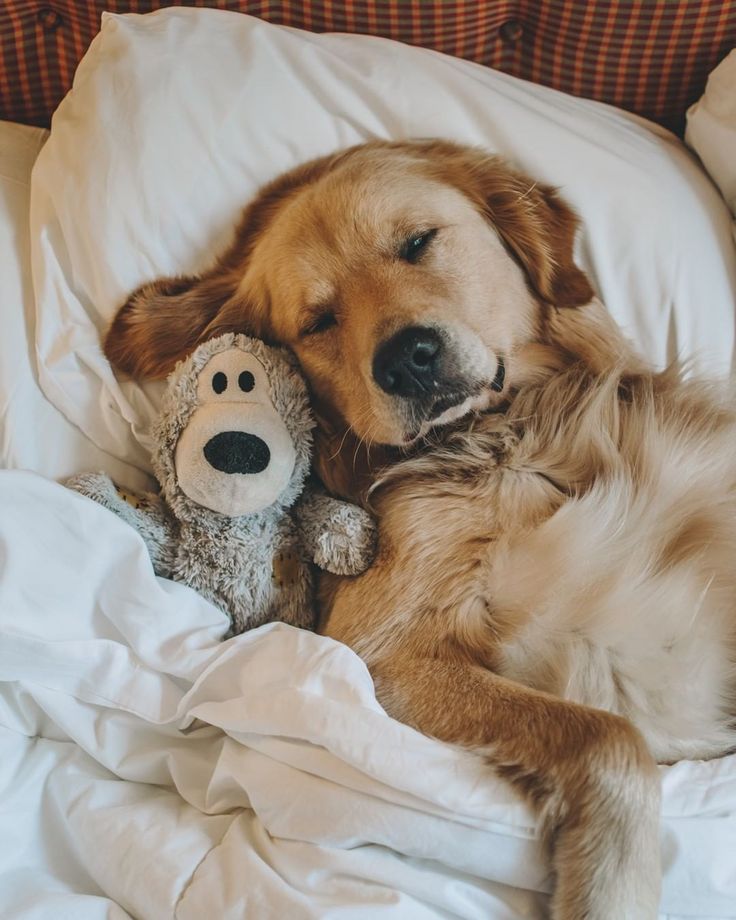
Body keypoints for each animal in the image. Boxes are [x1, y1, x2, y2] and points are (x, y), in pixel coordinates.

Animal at [103, 140, 736, 916]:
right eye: (319, 321)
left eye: (417, 243)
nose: (406, 359)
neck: (518, 435)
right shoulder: (377, 656)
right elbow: (609, 736)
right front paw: (608, 886)